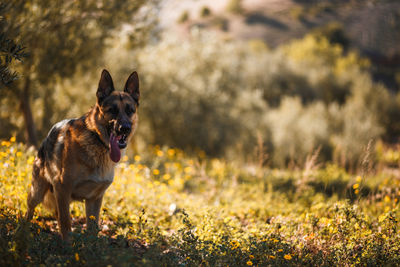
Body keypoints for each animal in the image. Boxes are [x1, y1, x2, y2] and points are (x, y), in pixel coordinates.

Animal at [25, 69, 141, 241]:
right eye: (112, 110)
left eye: (129, 110)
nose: (125, 128)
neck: (97, 140)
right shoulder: (63, 188)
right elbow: (66, 223)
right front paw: (68, 245)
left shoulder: (94, 199)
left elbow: (92, 229)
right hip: (37, 192)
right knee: (30, 211)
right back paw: (22, 231)